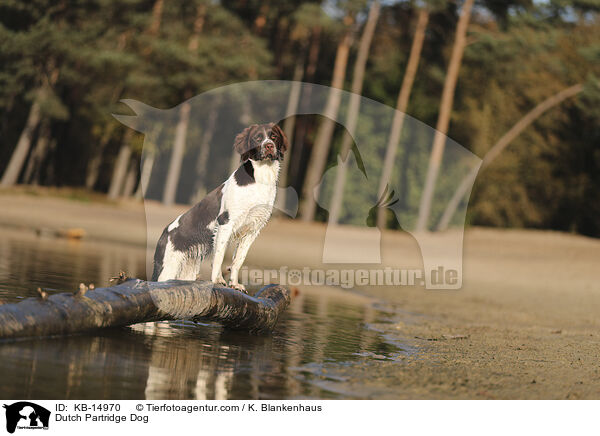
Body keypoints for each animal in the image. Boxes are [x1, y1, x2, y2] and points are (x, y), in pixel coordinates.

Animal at [152, 122, 288, 292]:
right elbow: (219, 255)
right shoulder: (226, 222)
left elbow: (239, 259)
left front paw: (234, 284)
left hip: (186, 271)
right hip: (167, 269)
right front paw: (217, 280)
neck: (261, 178)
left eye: (274, 136)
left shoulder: (252, 229)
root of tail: (164, 233)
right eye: (257, 138)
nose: (269, 145)